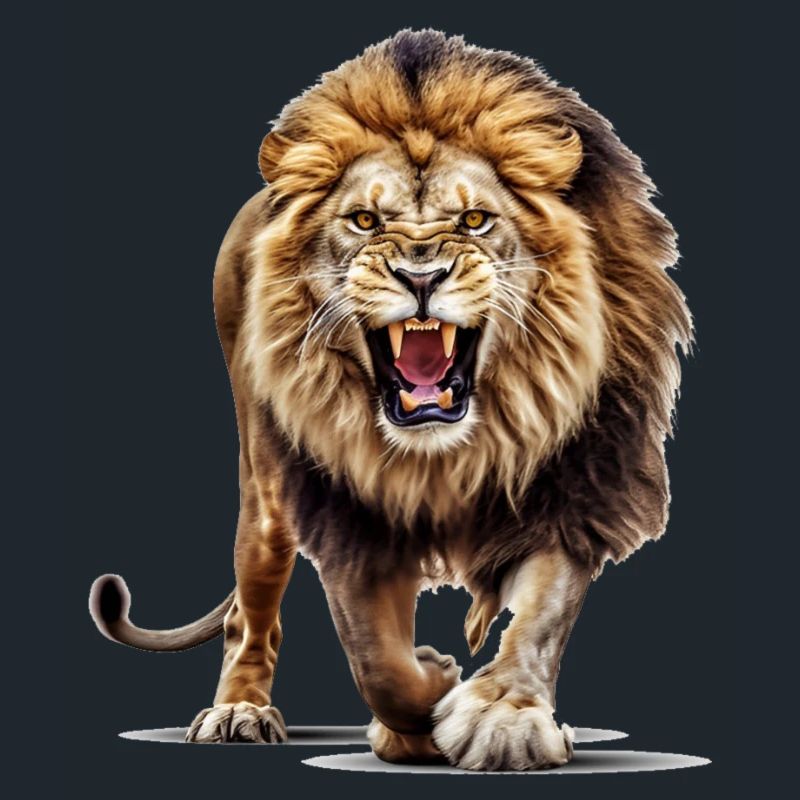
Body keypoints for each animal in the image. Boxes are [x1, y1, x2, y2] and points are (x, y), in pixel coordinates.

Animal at [89, 29, 692, 770]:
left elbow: (541, 616)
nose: (421, 274)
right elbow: (374, 656)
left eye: (475, 219)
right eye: (365, 219)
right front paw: (425, 703)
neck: (448, 450)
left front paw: (504, 717)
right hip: (264, 490)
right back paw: (240, 710)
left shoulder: (574, 484)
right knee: (248, 610)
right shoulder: (347, 506)